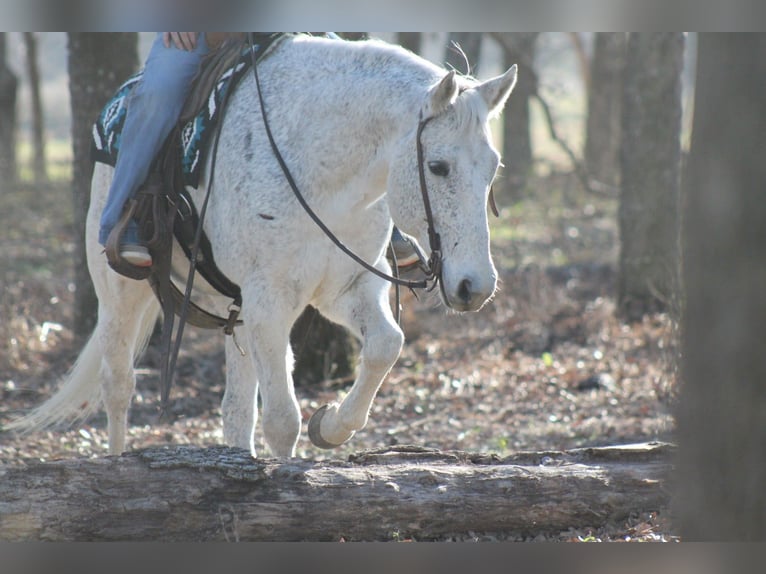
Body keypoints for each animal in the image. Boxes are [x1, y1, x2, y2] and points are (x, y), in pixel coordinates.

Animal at [10, 34, 518, 458]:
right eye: (438, 166)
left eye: (493, 168)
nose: (475, 286)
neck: (320, 167)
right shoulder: (269, 302)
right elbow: (281, 422)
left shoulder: (344, 289)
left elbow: (385, 346)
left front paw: (331, 425)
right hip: (120, 289)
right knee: (118, 384)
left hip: (235, 312)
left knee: (235, 412)